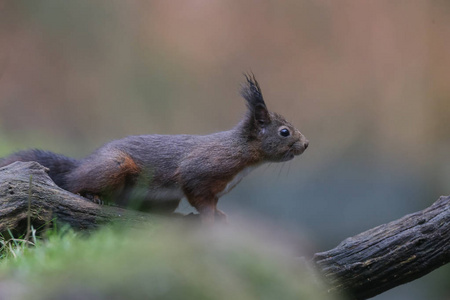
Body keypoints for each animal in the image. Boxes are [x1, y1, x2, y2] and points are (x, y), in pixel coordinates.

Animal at [0, 74, 308, 223]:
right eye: (284, 132)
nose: (306, 144)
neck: (243, 156)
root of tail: (83, 161)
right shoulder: (200, 171)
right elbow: (200, 198)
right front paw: (211, 218)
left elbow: (214, 203)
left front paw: (220, 214)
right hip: (113, 166)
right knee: (73, 183)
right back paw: (91, 195)